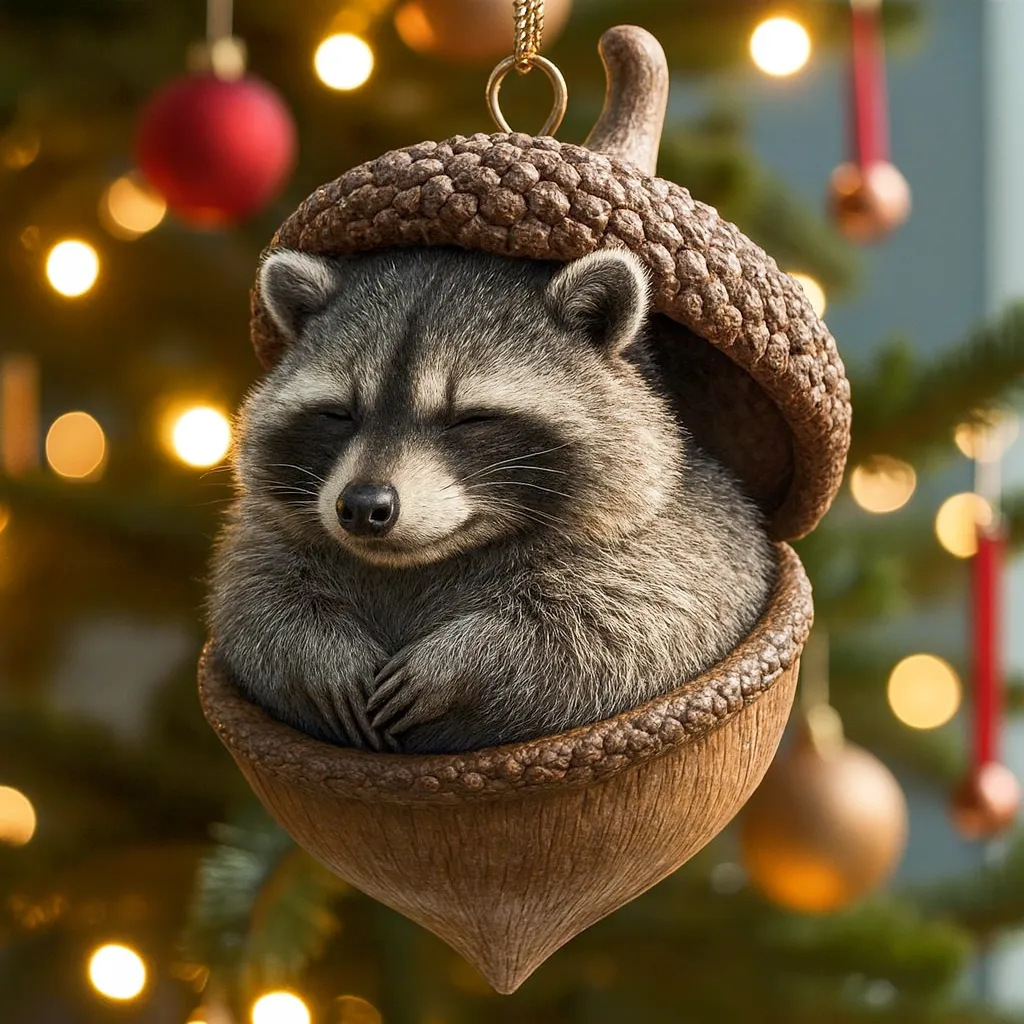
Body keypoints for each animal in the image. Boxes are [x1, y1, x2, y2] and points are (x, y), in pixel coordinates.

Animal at [207, 246, 775, 754]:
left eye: (469, 418)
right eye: (339, 414)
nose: (364, 507)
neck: (422, 561)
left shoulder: (691, 532)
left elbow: (627, 626)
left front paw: (458, 669)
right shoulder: (262, 538)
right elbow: (254, 598)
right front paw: (319, 658)